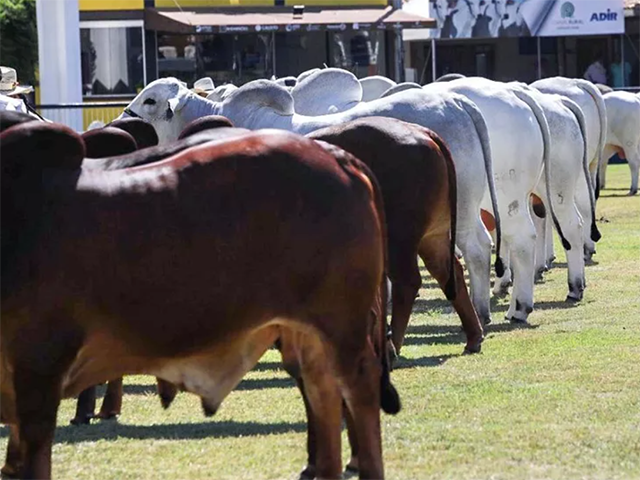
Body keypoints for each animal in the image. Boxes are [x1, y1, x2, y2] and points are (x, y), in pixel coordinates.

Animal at [0, 121, 396, 480]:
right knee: (322, 392)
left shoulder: (39, 366)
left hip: (341, 326)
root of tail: (336, 156)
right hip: (307, 332)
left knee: (358, 387)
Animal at [122, 78, 504, 326]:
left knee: (476, 247)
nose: (123, 118)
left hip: (460, 207)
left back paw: (482, 311)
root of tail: (456, 103)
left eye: (150, 100)